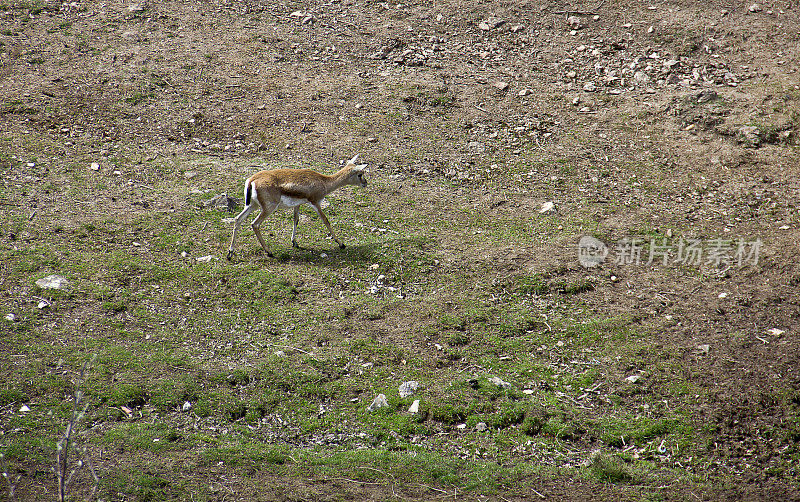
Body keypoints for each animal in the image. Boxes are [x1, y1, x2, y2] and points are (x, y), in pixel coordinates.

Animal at [225, 155, 368, 260]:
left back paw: (230, 253)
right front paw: (341, 244)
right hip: (268, 208)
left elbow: (296, 220)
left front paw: (294, 242)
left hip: (252, 206)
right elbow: (326, 221)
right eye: (360, 174)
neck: (324, 182)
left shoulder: (298, 205)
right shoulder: (316, 203)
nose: (365, 183)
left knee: (238, 219)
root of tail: (252, 180)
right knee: (255, 224)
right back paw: (269, 252)